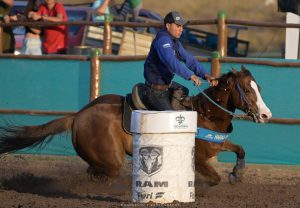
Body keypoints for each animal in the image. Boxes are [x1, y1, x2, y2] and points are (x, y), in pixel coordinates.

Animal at [0, 66, 272, 187]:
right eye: (247, 90)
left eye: (258, 87)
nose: (266, 115)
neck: (204, 115)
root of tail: (78, 116)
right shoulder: (200, 158)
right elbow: (214, 178)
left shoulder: (216, 146)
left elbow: (240, 150)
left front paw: (237, 173)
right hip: (112, 160)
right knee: (101, 176)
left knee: (92, 173)